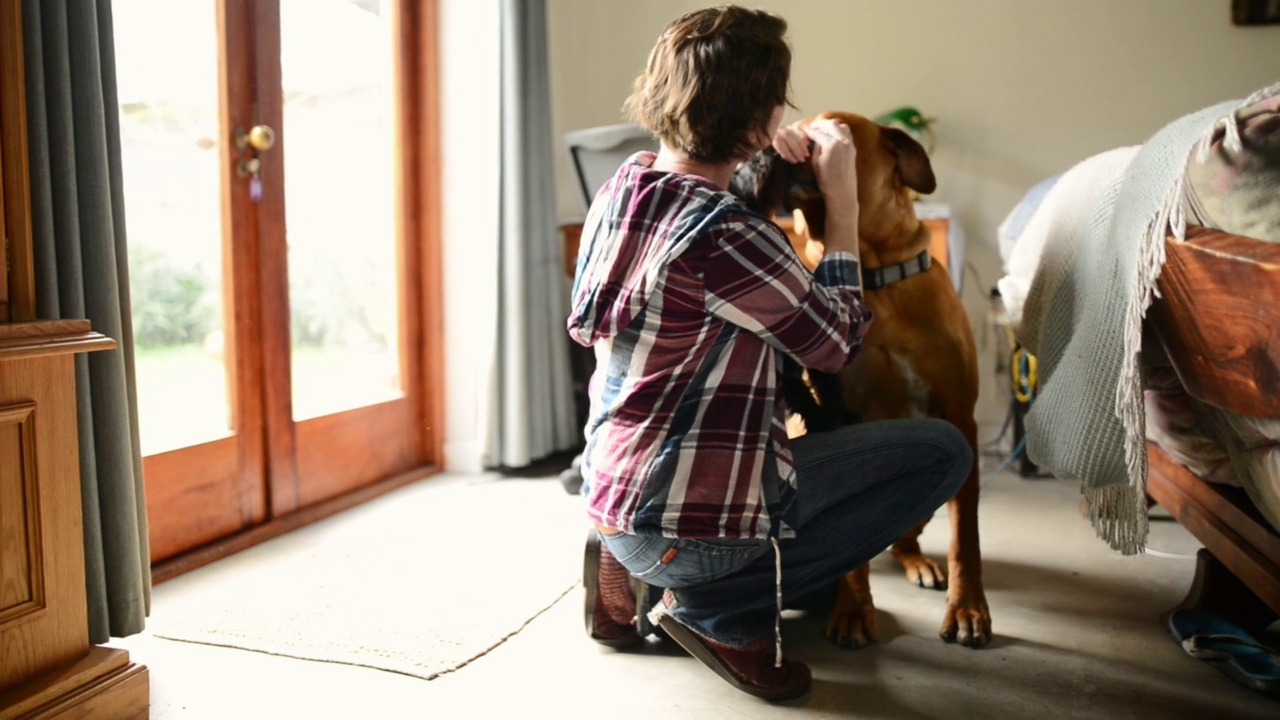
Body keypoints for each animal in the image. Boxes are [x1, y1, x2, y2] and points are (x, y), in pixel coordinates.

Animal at [732, 110, 988, 645]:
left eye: (829, 130)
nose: (781, 143)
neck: (876, 282)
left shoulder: (961, 419)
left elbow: (966, 535)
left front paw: (969, 608)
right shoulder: (843, 411)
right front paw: (852, 610)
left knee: (905, 538)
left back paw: (921, 565)